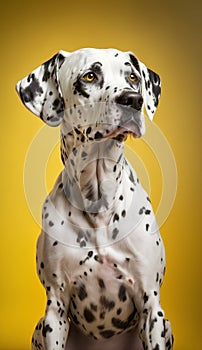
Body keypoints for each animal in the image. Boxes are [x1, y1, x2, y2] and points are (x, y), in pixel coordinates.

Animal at [16, 47, 174, 348]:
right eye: (89, 76)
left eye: (133, 77)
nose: (133, 100)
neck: (98, 200)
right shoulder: (55, 307)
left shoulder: (152, 306)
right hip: (40, 326)